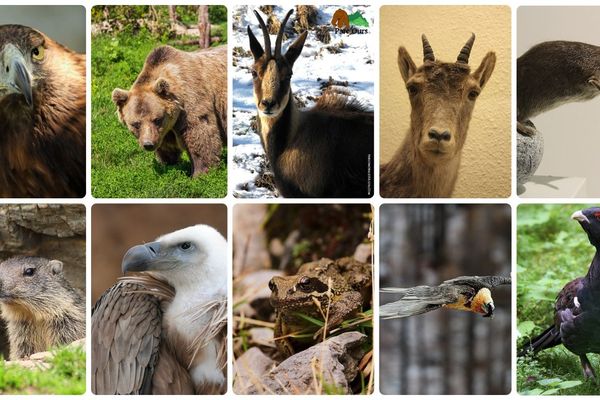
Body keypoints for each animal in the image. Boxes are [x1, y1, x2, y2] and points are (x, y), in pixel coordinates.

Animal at [111, 43, 226, 177]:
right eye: (136, 124)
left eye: (157, 119)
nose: (148, 144)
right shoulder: (166, 130)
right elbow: (167, 147)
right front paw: (167, 164)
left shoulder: (192, 102)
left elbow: (201, 136)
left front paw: (200, 173)